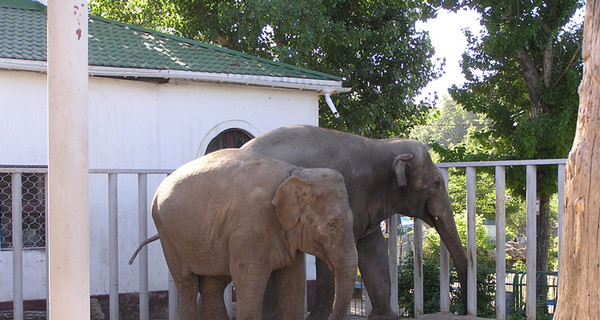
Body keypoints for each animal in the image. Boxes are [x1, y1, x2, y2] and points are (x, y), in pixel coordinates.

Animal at [241, 125, 466, 320]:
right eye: (436, 183)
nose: (463, 309)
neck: (384, 146)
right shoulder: (348, 194)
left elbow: (374, 252)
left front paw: (384, 317)